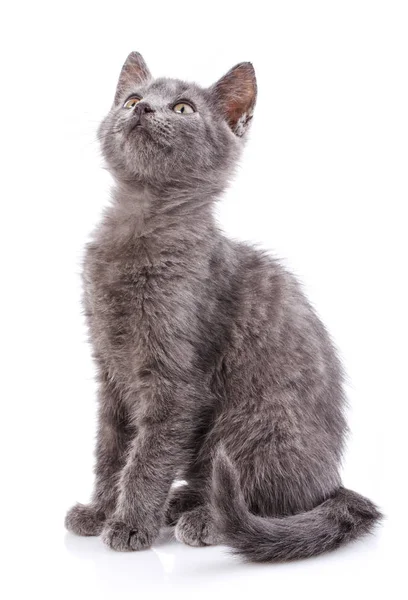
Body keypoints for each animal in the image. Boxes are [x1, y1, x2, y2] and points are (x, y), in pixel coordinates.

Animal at [65, 52, 380, 564]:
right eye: (132, 99)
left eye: (183, 108)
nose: (142, 109)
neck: (139, 224)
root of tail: (334, 484)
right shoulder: (109, 370)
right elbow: (111, 449)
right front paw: (99, 511)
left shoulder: (174, 382)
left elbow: (148, 456)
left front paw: (130, 524)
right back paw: (181, 504)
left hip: (248, 425)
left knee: (267, 498)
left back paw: (204, 520)